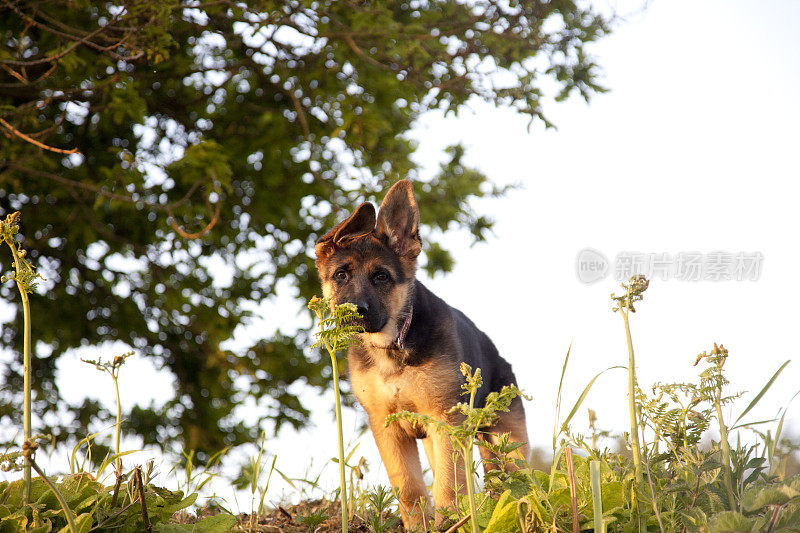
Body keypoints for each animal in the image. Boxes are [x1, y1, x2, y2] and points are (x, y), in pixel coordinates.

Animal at [314, 180, 532, 528]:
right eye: (341, 275)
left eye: (382, 277)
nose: (356, 312)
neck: (393, 345)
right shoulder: (387, 427)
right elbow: (409, 488)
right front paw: (423, 525)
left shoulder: (446, 421)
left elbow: (449, 484)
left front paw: (450, 523)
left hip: (505, 441)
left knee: (517, 480)